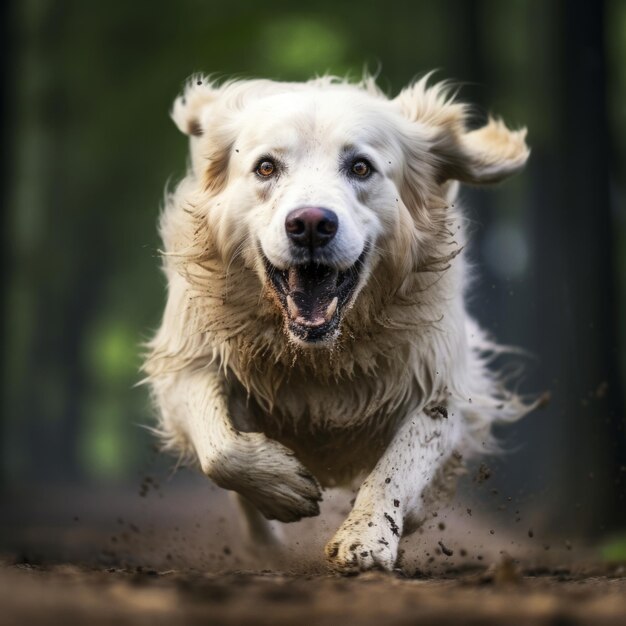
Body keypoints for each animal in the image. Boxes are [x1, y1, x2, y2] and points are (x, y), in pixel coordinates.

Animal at [144, 73, 532, 572]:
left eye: (361, 167)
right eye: (266, 168)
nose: (310, 223)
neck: (320, 354)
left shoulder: (442, 385)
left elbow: (398, 466)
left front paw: (367, 536)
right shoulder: (189, 357)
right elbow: (221, 449)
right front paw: (281, 487)